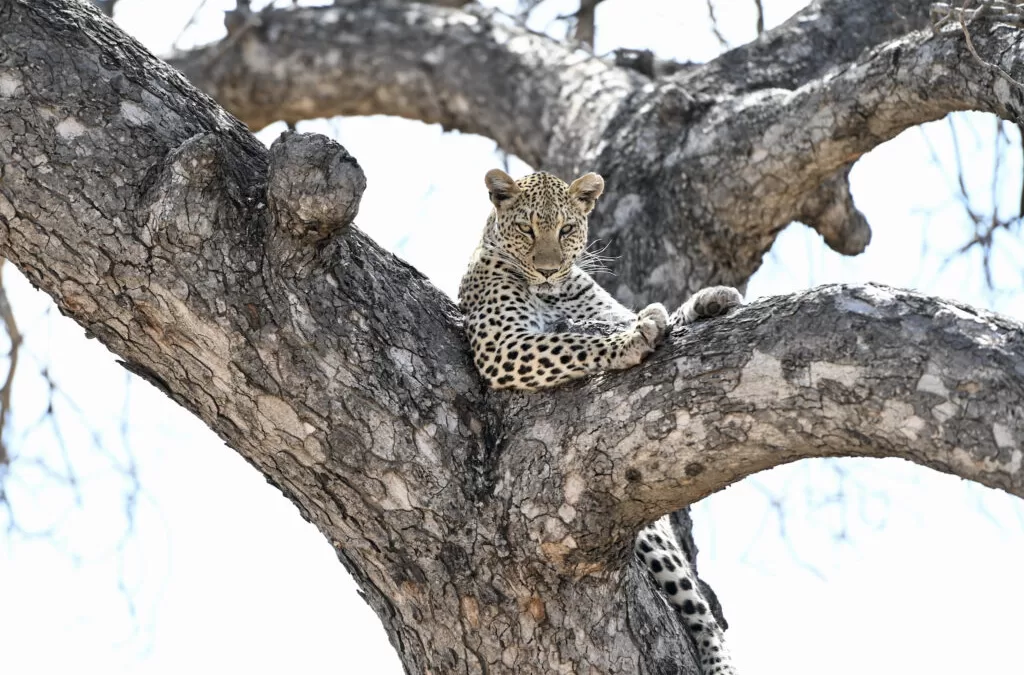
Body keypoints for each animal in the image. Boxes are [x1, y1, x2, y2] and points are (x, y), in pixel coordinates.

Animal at [460, 169, 741, 675]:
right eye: (527, 229)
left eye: (567, 229)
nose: (547, 268)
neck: (552, 291)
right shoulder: (501, 343)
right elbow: (571, 343)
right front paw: (630, 341)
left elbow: (656, 316)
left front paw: (709, 300)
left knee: (702, 614)